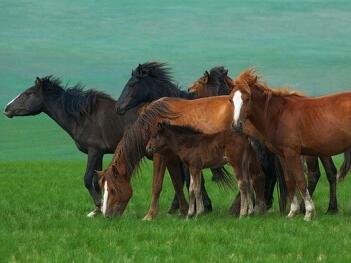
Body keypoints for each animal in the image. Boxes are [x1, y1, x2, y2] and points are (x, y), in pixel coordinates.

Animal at [231, 69, 351, 222]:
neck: (279, 115)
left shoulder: (292, 153)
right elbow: (289, 180)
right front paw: (292, 212)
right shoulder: (282, 155)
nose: (236, 125)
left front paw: (308, 213)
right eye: (230, 99)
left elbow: (300, 180)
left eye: (247, 98)